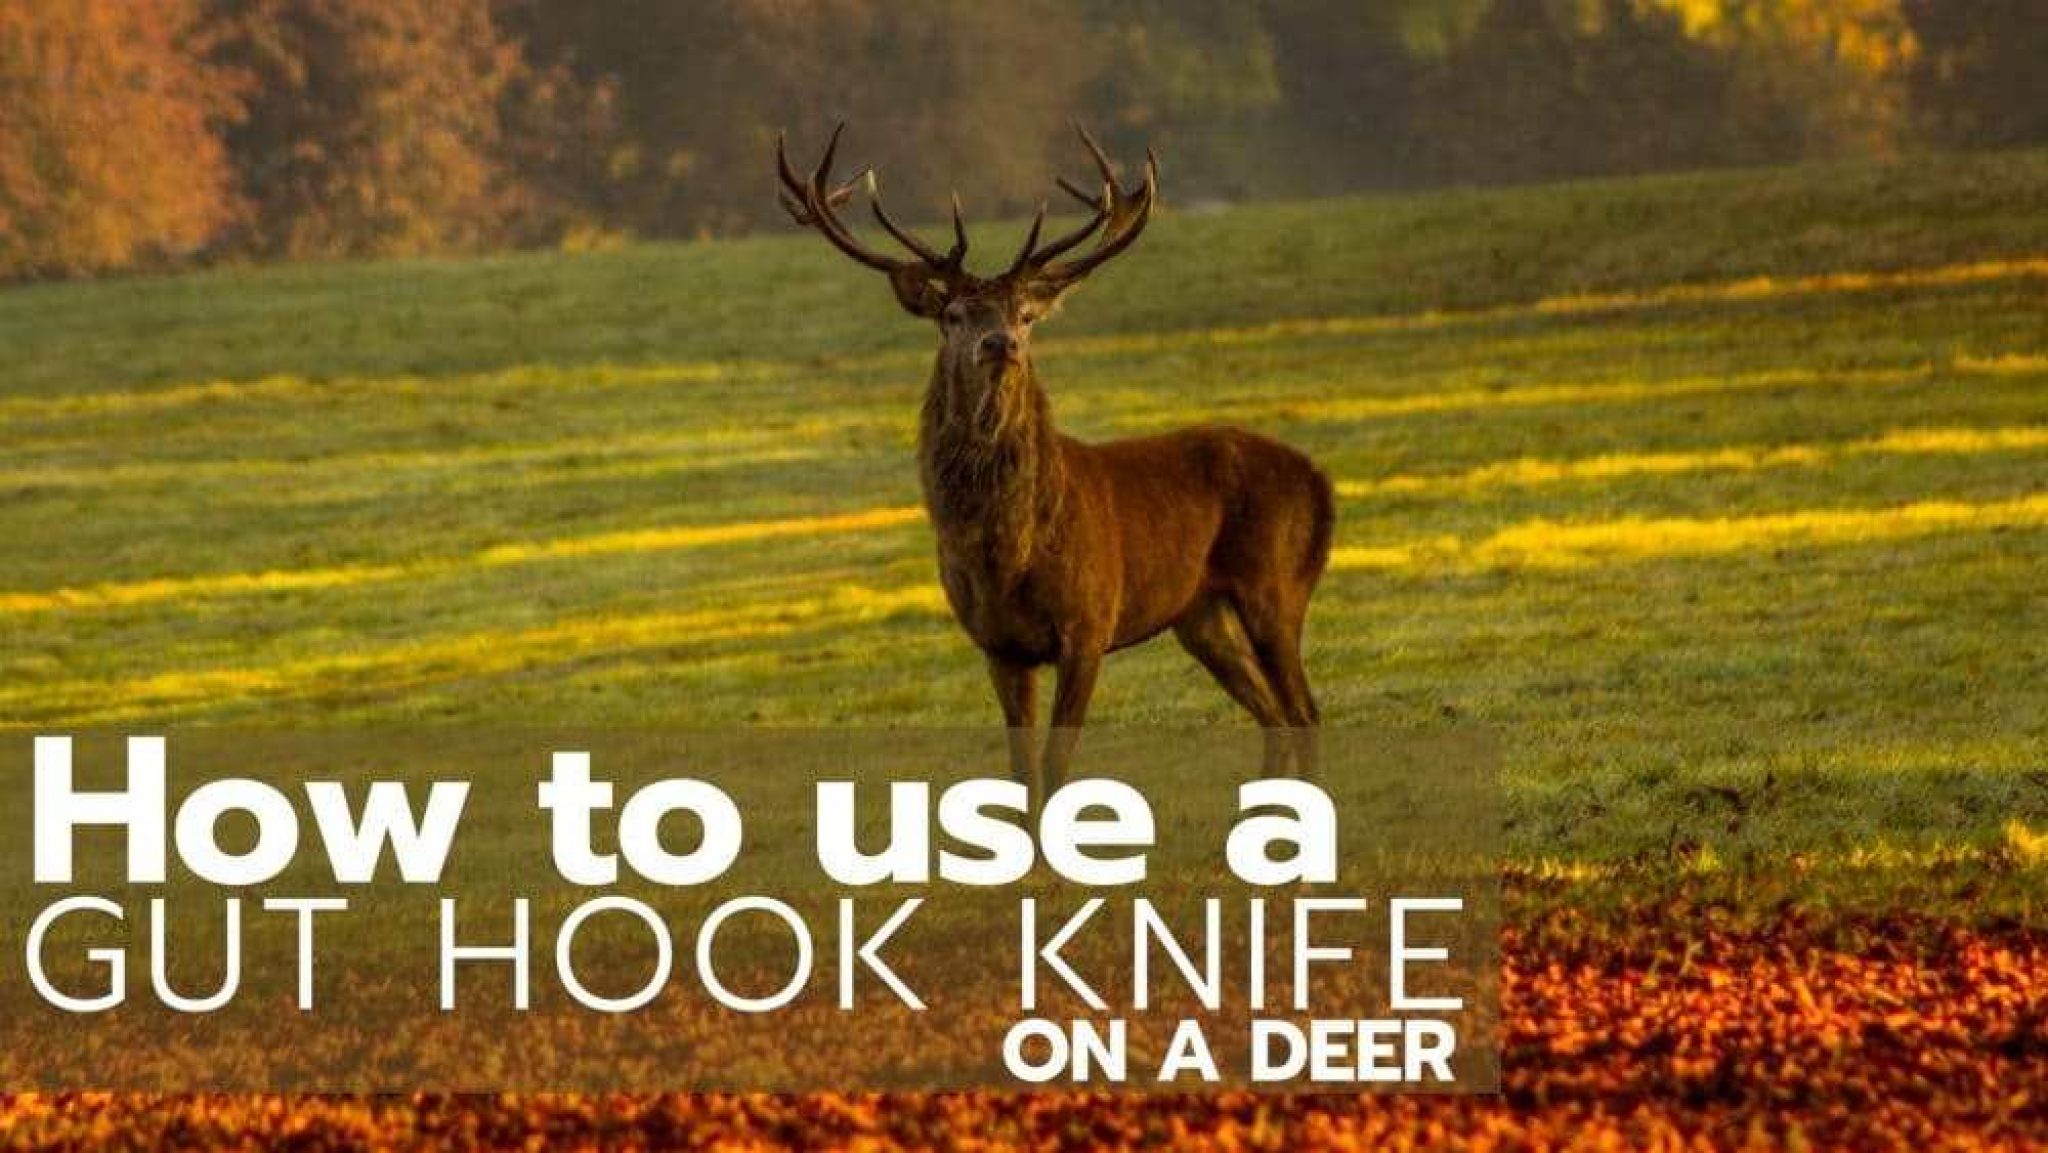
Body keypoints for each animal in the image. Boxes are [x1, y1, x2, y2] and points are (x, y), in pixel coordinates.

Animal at [776, 123, 1335, 787]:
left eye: (1023, 313)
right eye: (953, 315)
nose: (1001, 344)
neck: (1008, 554)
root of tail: (1319, 479)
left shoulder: (1088, 623)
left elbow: (1056, 763)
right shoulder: (997, 645)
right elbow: (1023, 769)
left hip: (1276, 585)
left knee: (1304, 711)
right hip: (1200, 615)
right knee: (1273, 714)